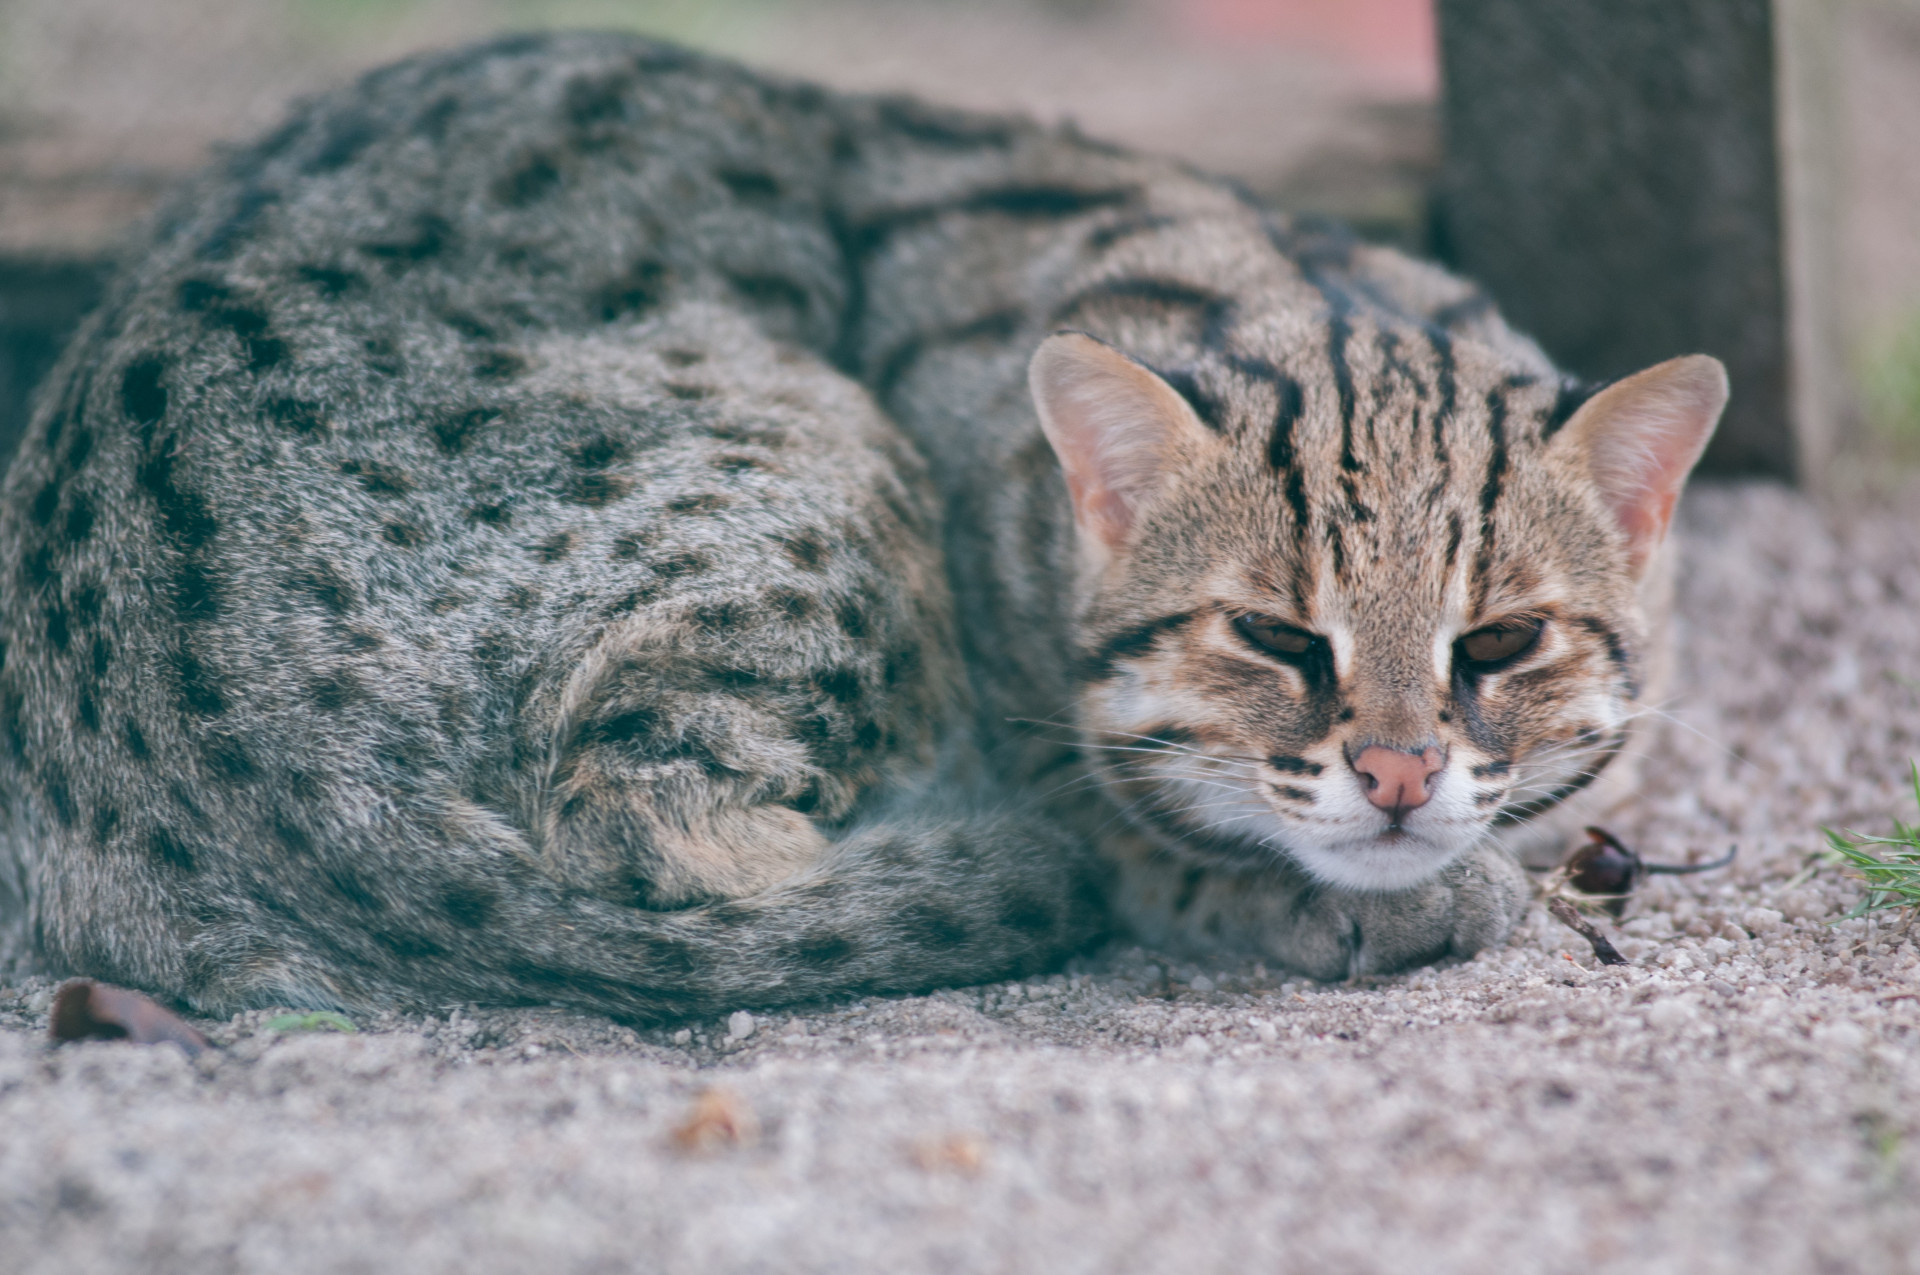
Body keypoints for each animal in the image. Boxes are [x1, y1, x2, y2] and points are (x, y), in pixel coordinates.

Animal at [0, 34, 1720, 1021]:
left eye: (1501, 640)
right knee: (655, 844)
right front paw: (1340, 894)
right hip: (819, 480)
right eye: (1274, 635)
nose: (1401, 772)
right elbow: (1123, 808)